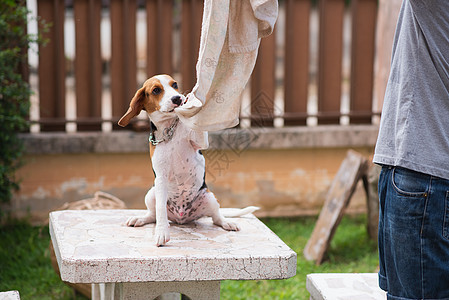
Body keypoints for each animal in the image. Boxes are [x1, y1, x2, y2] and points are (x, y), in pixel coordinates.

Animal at [117, 74, 258, 246]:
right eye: (156, 90)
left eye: (175, 84)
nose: (177, 98)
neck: (171, 129)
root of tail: (182, 218)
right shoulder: (161, 178)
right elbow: (160, 210)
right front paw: (161, 232)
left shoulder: (200, 142)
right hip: (152, 193)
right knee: (153, 214)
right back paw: (140, 219)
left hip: (209, 197)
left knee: (217, 217)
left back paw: (227, 222)